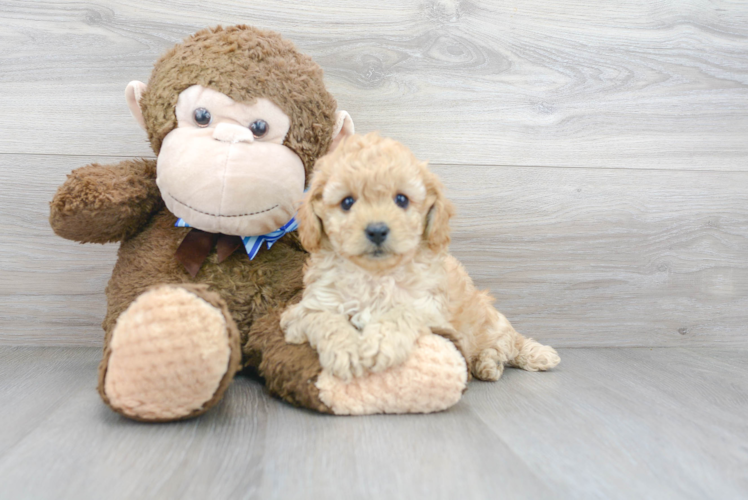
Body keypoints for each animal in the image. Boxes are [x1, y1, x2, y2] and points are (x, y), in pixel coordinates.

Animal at [284, 133, 560, 382]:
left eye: (401, 199)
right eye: (347, 202)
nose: (377, 230)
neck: (375, 275)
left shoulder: (431, 311)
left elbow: (403, 312)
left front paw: (380, 343)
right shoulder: (306, 310)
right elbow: (324, 319)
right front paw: (346, 351)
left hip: (490, 322)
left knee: (509, 343)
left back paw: (509, 359)